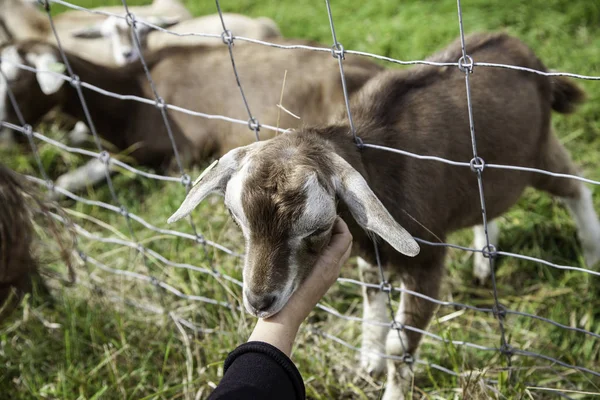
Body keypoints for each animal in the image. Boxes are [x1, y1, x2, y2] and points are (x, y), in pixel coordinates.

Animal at [166, 32, 600, 398]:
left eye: (317, 228)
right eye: (236, 218)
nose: (259, 301)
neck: (379, 163)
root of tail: (523, 52)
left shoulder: (428, 259)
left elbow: (400, 343)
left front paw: (389, 382)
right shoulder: (371, 256)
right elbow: (372, 304)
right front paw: (369, 361)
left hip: (535, 155)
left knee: (575, 183)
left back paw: (591, 256)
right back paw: (484, 262)